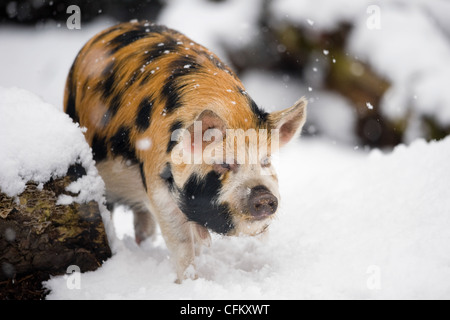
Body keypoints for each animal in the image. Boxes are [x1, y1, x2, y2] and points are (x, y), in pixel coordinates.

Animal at [63, 20, 308, 282]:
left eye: (265, 160)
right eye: (224, 162)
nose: (264, 196)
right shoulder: (156, 182)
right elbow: (180, 241)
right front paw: (188, 282)